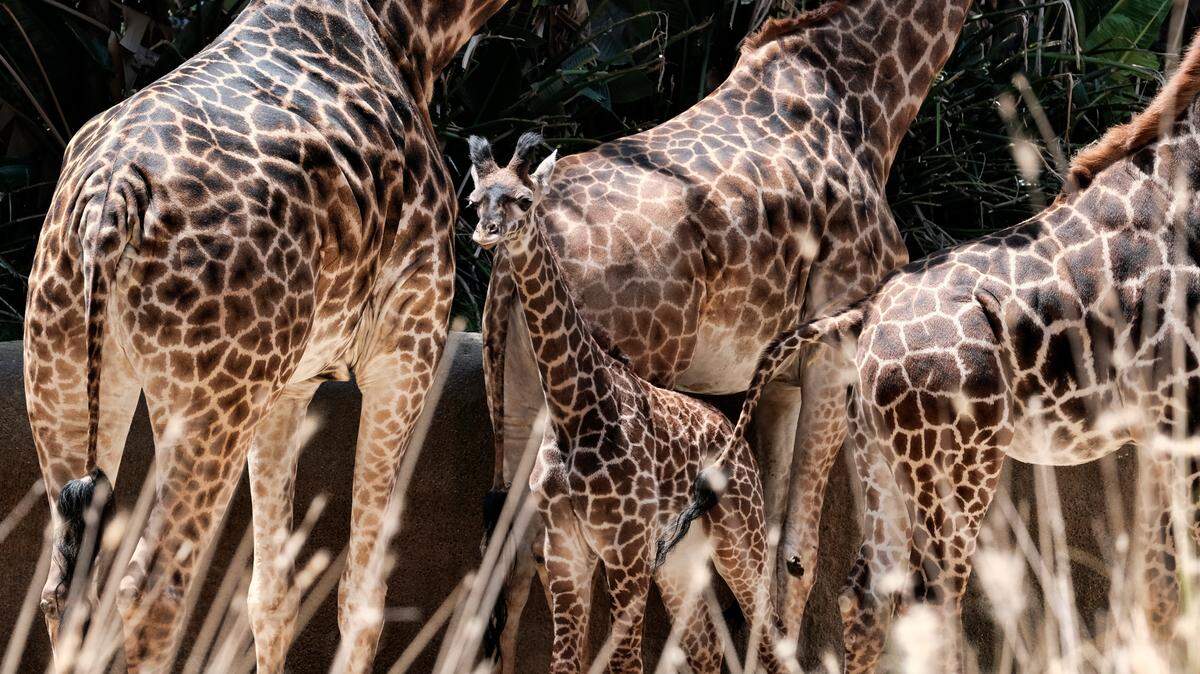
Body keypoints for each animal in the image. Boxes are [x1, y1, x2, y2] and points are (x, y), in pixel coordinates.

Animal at [24, 0, 507, 670]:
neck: (413, 31)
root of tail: (111, 197)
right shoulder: (408, 342)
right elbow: (363, 596)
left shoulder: (288, 387)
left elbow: (270, 595)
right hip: (209, 407)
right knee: (152, 591)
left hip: (66, 373)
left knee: (65, 587)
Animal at [468, 132, 786, 673]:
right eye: (475, 199)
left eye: (524, 200)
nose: (485, 233)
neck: (573, 411)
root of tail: (728, 427)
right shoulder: (566, 550)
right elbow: (566, 662)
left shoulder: (625, 548)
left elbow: (625, 661)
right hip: (682, 557)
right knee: (705, 646)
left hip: (740, 533)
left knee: (769, 633)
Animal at [664, 29, 1200, 672]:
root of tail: (865, 316)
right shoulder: (1184, 416)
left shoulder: (1160, 431)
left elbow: (1158, 587)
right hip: (956, 468)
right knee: (933, 602)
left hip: (879, 457)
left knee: (869, 595)